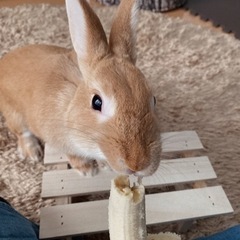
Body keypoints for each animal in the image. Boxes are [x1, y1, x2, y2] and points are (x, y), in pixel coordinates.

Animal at [0, 0, 161, 176]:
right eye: (96, 102)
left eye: (153, 100)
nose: (137, 164)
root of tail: (4, 61)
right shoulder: (61, 140)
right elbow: (73, 155)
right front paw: (88, 170)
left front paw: (103, 165)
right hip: (14, 115)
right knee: (22, 133)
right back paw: (33, 154)